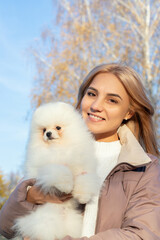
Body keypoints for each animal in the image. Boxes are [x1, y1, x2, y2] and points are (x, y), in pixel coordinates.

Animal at [12, 101, 100, 240]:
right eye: (43, 130)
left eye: (58, 127)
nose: (48, 133)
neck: (60, 148)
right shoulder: (47, 167)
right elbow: (61, 171)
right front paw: (66, 186)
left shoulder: (84, 168)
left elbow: (84, 180)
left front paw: (83, 196)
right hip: (45, 223)